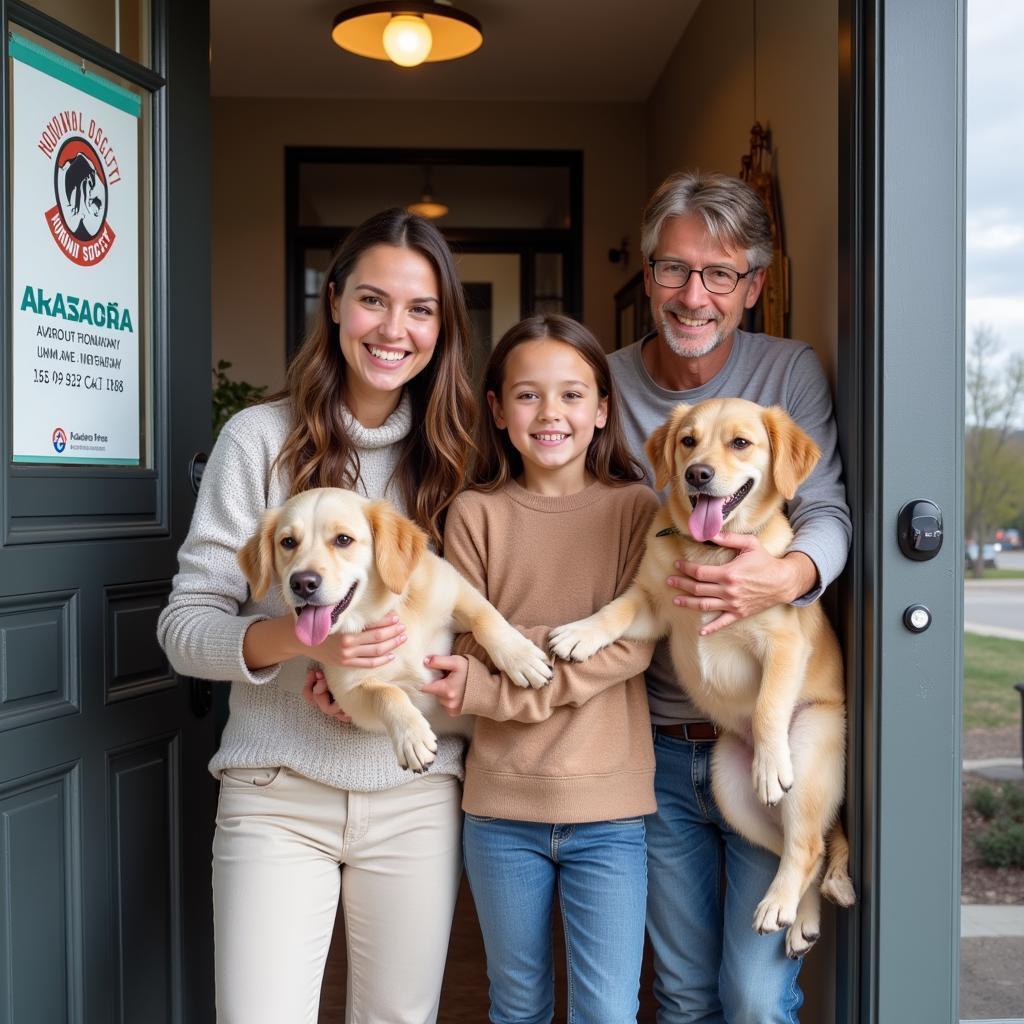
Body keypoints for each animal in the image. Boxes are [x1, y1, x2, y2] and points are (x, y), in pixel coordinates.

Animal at [239, 487, 552, 770]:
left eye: (343, 539)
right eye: (288, 542)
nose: (302, 583)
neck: (385, 611)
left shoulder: (456, 589)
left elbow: (486, 618)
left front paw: (522, 658)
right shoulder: (351, 695)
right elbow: (387, 693)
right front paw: (412, 738)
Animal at [552, 395, 856, 954]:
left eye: (741, 442)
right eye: (688, 441)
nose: (697, 474)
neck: (712, 551)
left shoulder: (783, 641)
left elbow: (767, 704)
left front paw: (769, 763)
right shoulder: (652, 605)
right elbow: (614, 611)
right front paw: (581, 634)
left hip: (810, 749)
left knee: (805, 844)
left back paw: (778, 903)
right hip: (728, 786)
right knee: (806, 846)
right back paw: (800, 917)